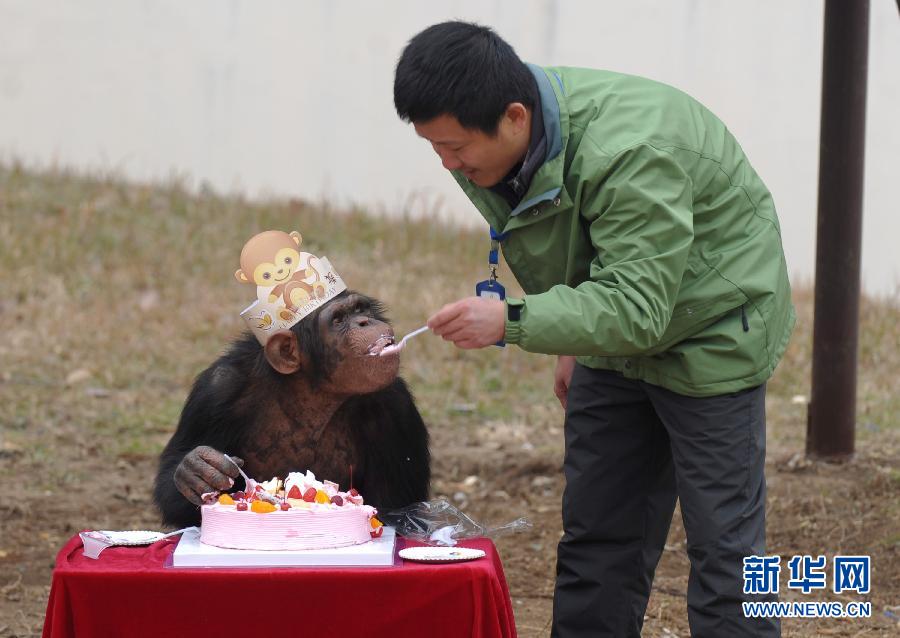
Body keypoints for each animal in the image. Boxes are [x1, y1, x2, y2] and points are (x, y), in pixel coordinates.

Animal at [153, 292, 430, 528]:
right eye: (338, 319)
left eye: (360, 309)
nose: (364, 321)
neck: (311, 390)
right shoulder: (216, 391)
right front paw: (197, 471)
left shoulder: (396, 408)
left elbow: (394, 507)